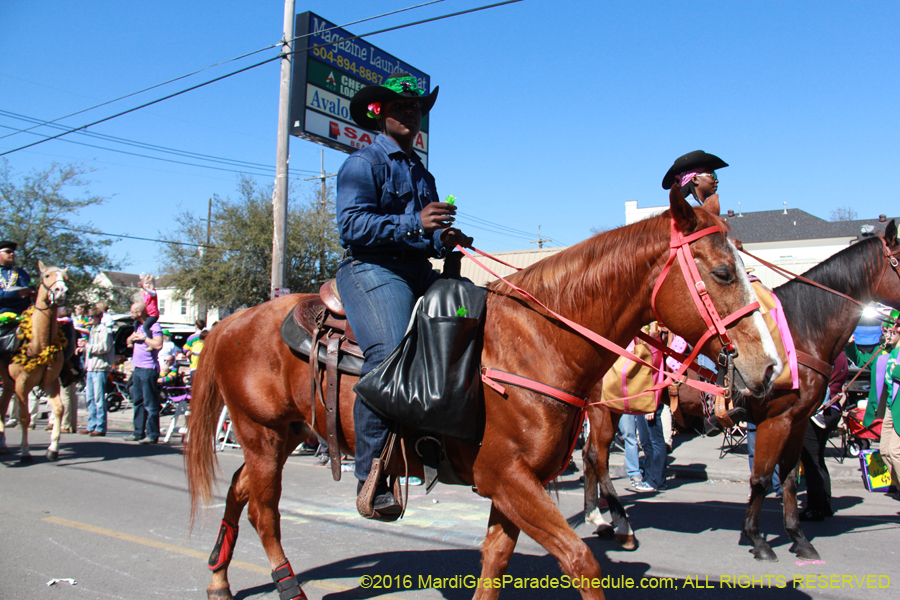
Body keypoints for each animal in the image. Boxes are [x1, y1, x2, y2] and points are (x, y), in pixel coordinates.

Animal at [0, 260, 69, 462]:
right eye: (46, 276)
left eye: (66, 277)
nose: (61, 291)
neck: (39, 342)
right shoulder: (22, 383)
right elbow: (24, 417)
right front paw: (25, 452)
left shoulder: (51, 382)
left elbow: (59, 409)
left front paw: (53, 449)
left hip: (8, 383)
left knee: (2, 407)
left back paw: (3, 444)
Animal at [185, 188, 780, 600]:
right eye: (723, 272)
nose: (770, 368)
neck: (538, 342)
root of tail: (234, 321)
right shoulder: (508, 477)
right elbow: (580, 561)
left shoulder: (515, 482)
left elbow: (494, 561)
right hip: (262, 436)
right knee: (264, 511)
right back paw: (287, 586)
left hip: (283, 435)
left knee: (239, 490)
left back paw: (217, 580)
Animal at [580, 220, 900, 564]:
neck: (802, 333)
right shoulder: (776, 420)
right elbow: (761, 479)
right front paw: (757, 538)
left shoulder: (798, 422)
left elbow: (789, 478)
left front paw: (798, 538)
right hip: (604, 409)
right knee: (597, 456)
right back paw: (616, 522)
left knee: (587, 455)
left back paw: (597, 518)